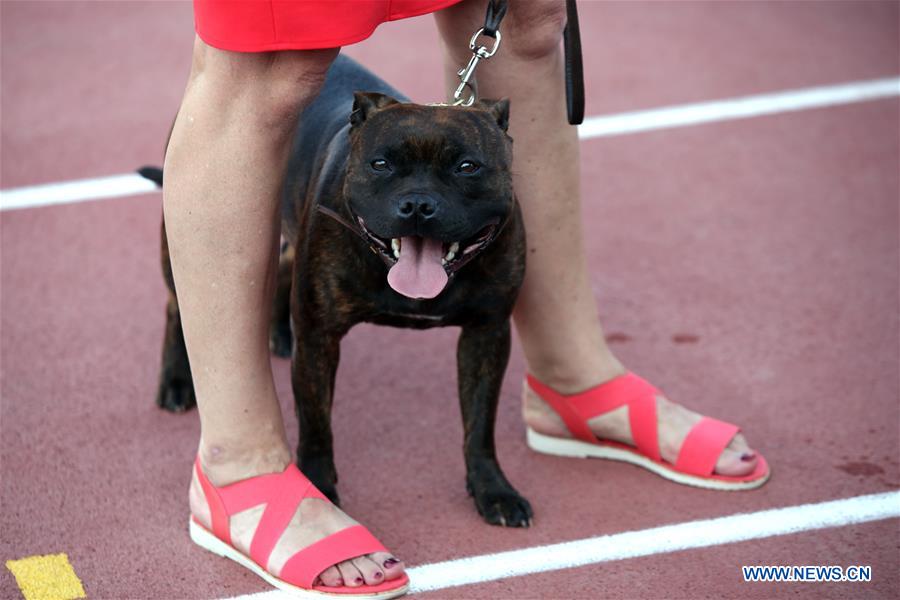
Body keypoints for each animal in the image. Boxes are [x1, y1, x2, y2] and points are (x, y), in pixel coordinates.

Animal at [149, 54, 532, 528]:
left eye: (467, 167)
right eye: (381, 164)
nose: (418, 204)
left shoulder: (486, 334)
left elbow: (479, 426)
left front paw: (492, 489)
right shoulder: (320, 341)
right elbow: (316, 424)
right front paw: (317, 487)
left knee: (283, 267)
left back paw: (279, 332)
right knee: (177, 305)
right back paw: (176, 382)